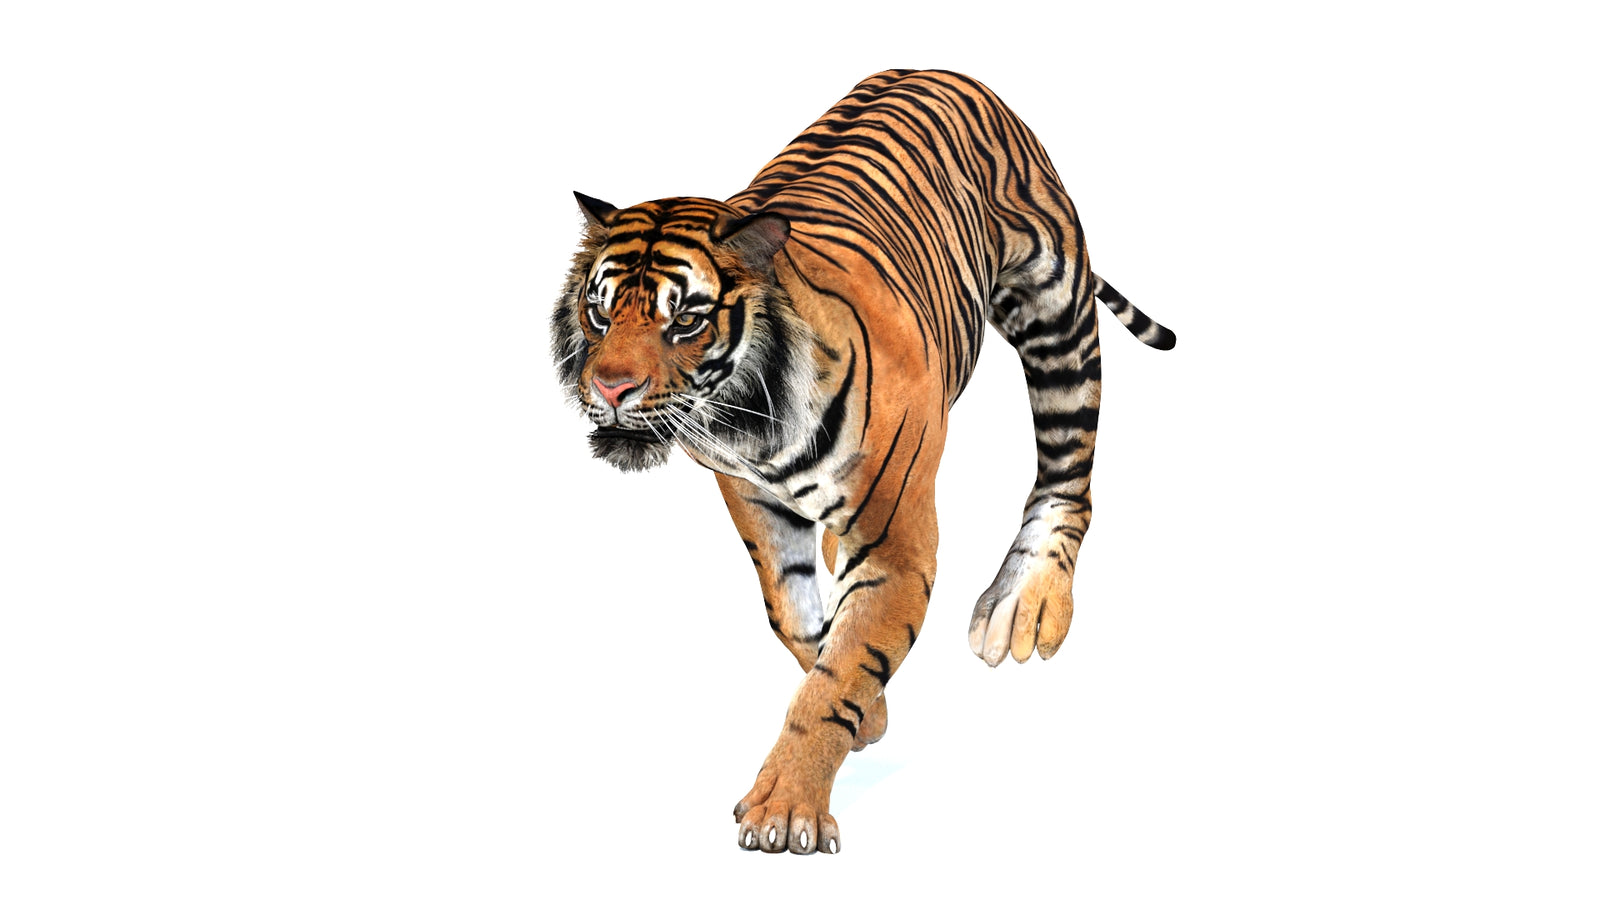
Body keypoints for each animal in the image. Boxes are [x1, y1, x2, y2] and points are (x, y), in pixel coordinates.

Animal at [549, 69, 1175, 855]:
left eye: (685, 320)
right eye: (600, 311)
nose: (608, 387)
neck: (747, 420)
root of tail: (948, 70)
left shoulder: (897, 542)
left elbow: (841, 670)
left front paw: (786, 810)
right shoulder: (750, 494)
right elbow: (794, 616)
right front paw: (867, 715)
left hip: (1056, 304)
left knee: (1070, 467)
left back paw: (1024, 608)